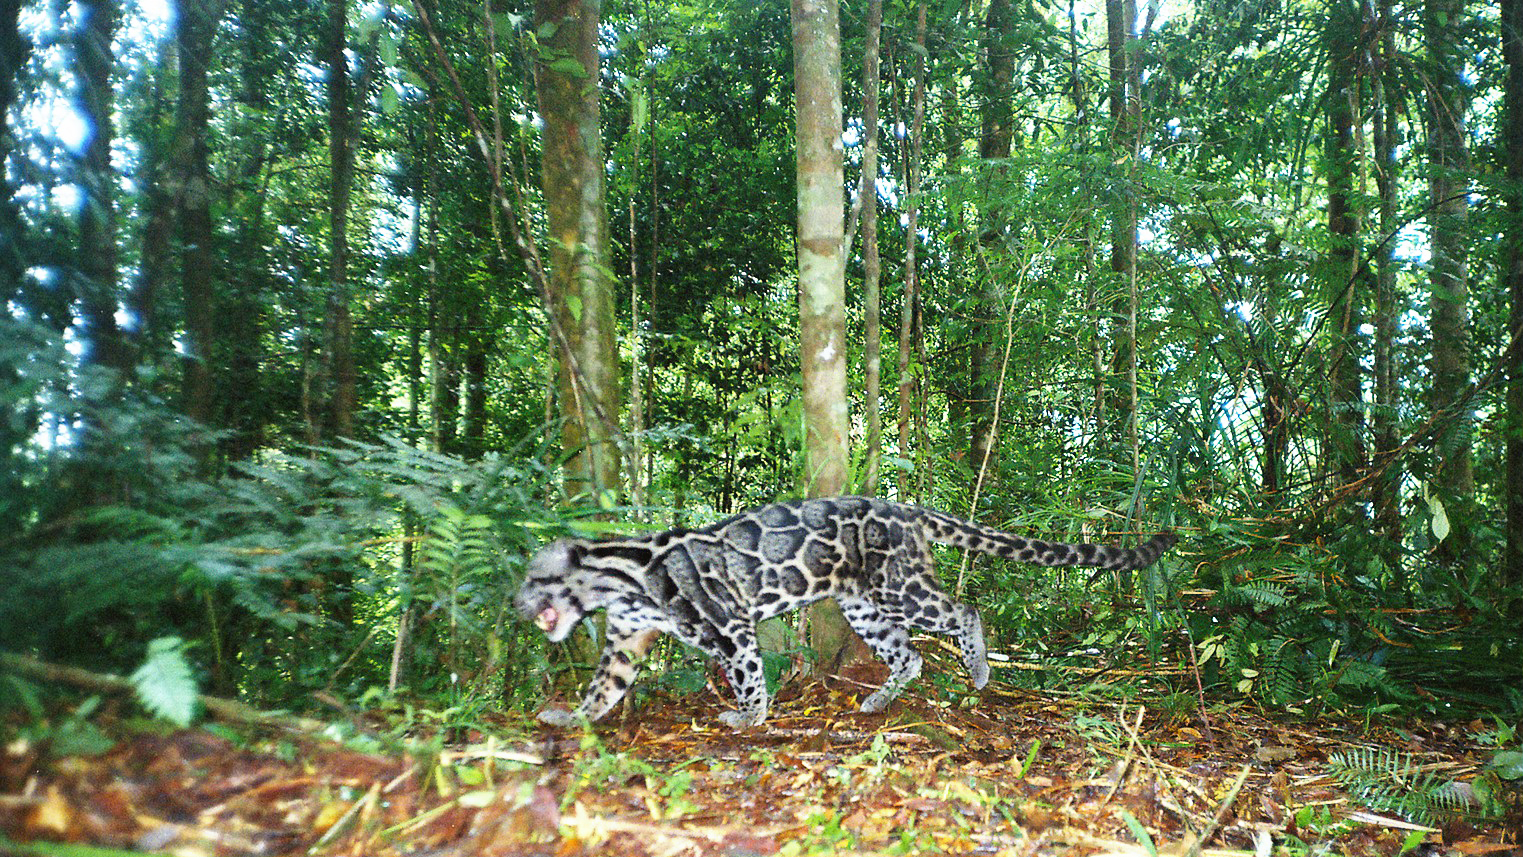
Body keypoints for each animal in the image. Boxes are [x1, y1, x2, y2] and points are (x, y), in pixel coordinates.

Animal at [520, 496, 1175, 730]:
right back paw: (880, 701)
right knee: (908, 655)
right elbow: (603, 688)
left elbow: (748, 677)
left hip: (902, 588)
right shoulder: (624, 642)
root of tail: (908, 508)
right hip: (863, 605)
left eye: (532, 579)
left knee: (963, 609)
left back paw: (980, 669)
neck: (618, 580)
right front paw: (570, 718)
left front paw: (748, 718)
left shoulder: (730, 625)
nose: (514, 602)